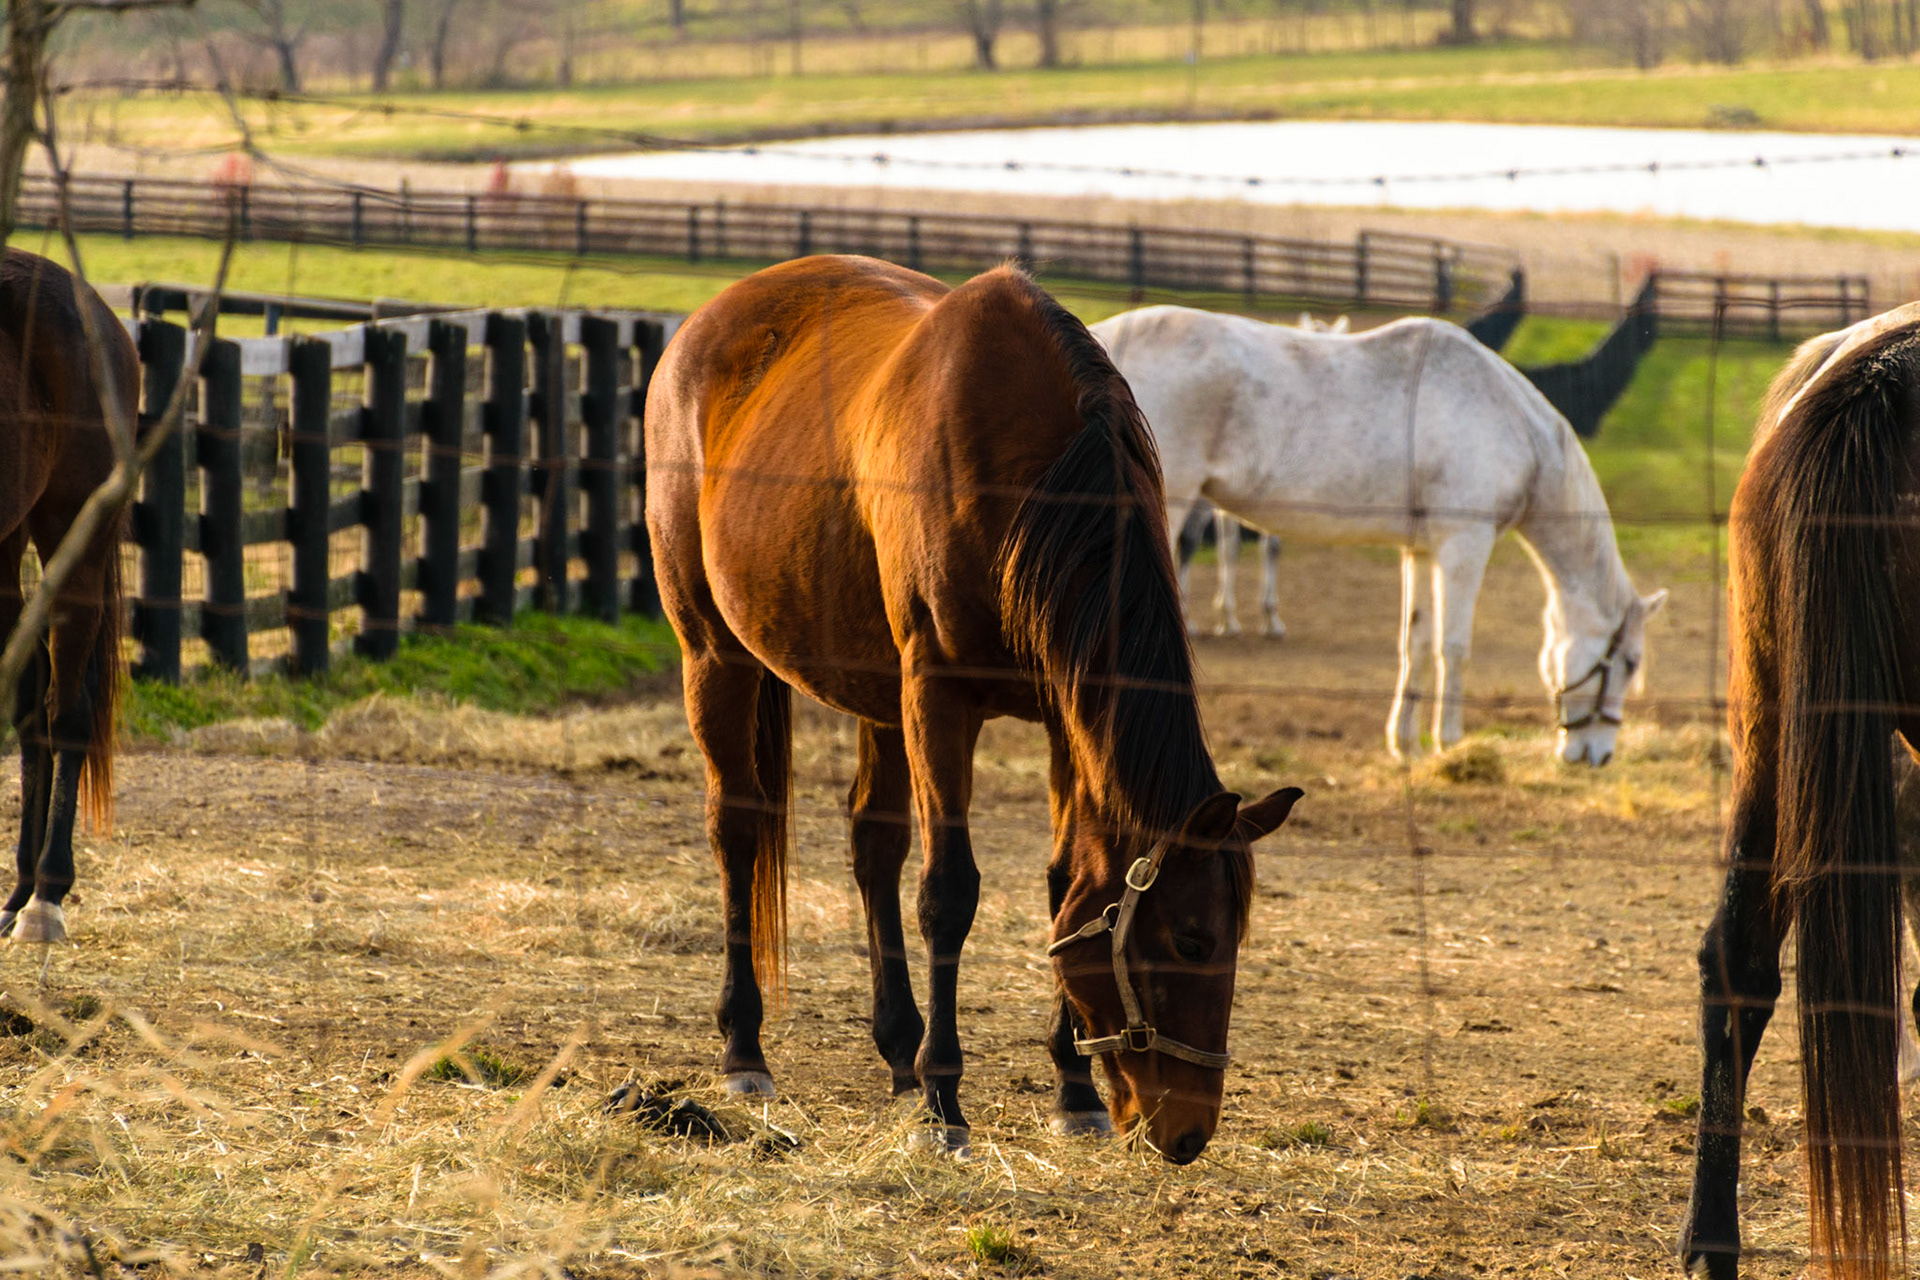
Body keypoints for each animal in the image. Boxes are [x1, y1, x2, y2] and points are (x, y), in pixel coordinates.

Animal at [645, 256, 1300, 1161]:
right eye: (1190, 938)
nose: (1188, 1130)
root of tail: (705, 325)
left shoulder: (1063, 714)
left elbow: (1064, 886)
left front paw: (1071, 1089)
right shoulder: (939, 696)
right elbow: (948, 891)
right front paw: (943, 1100)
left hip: (874, 694)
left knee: (873, 845)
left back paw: (896, 1048)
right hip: (714, 653)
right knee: (737, 828)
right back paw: (748, 1049)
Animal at [1090, 304, 1666, 766]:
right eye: (1629, 662)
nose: (1597, 755)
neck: (1508, 419)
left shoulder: (1422, 550)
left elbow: (1416, 642)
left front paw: (1405, 743)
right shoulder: (1464, 545)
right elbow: (1454, 647)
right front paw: (1450, 743)